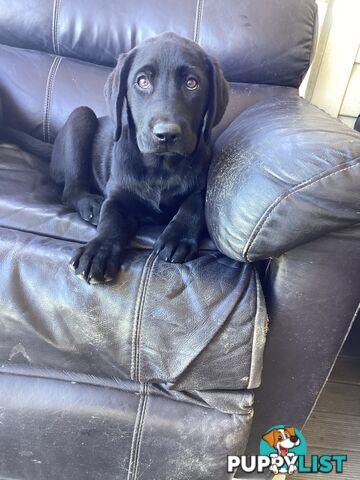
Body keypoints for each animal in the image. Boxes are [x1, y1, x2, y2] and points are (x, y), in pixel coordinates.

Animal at [50, 33, 228, 284]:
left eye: (192, 83)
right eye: (142, 82)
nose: (166, 134)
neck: (161, 167)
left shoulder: (202, 185)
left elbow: (194, 204)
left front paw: (178, 237)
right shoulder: (117, 196)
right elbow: (110, 220)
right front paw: (98, 250)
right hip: (81, 116)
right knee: (71, 191)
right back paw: (92, 205)